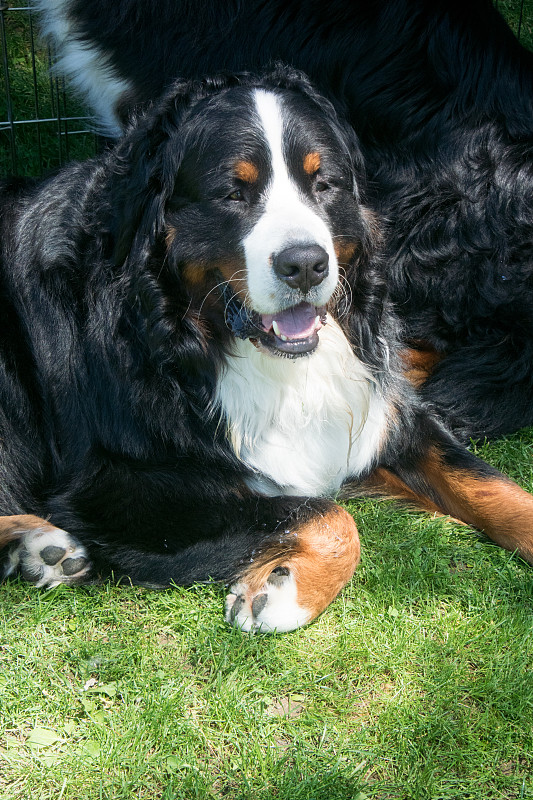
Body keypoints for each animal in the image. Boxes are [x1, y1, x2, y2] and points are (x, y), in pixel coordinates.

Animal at [1, 67, 532, 632]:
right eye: (234, 192)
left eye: (324, 184)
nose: (306, 264)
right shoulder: (112, 485)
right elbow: (323, 512)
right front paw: (283, 589)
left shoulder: (384, 410)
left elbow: (493, 486)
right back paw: (36, 544)